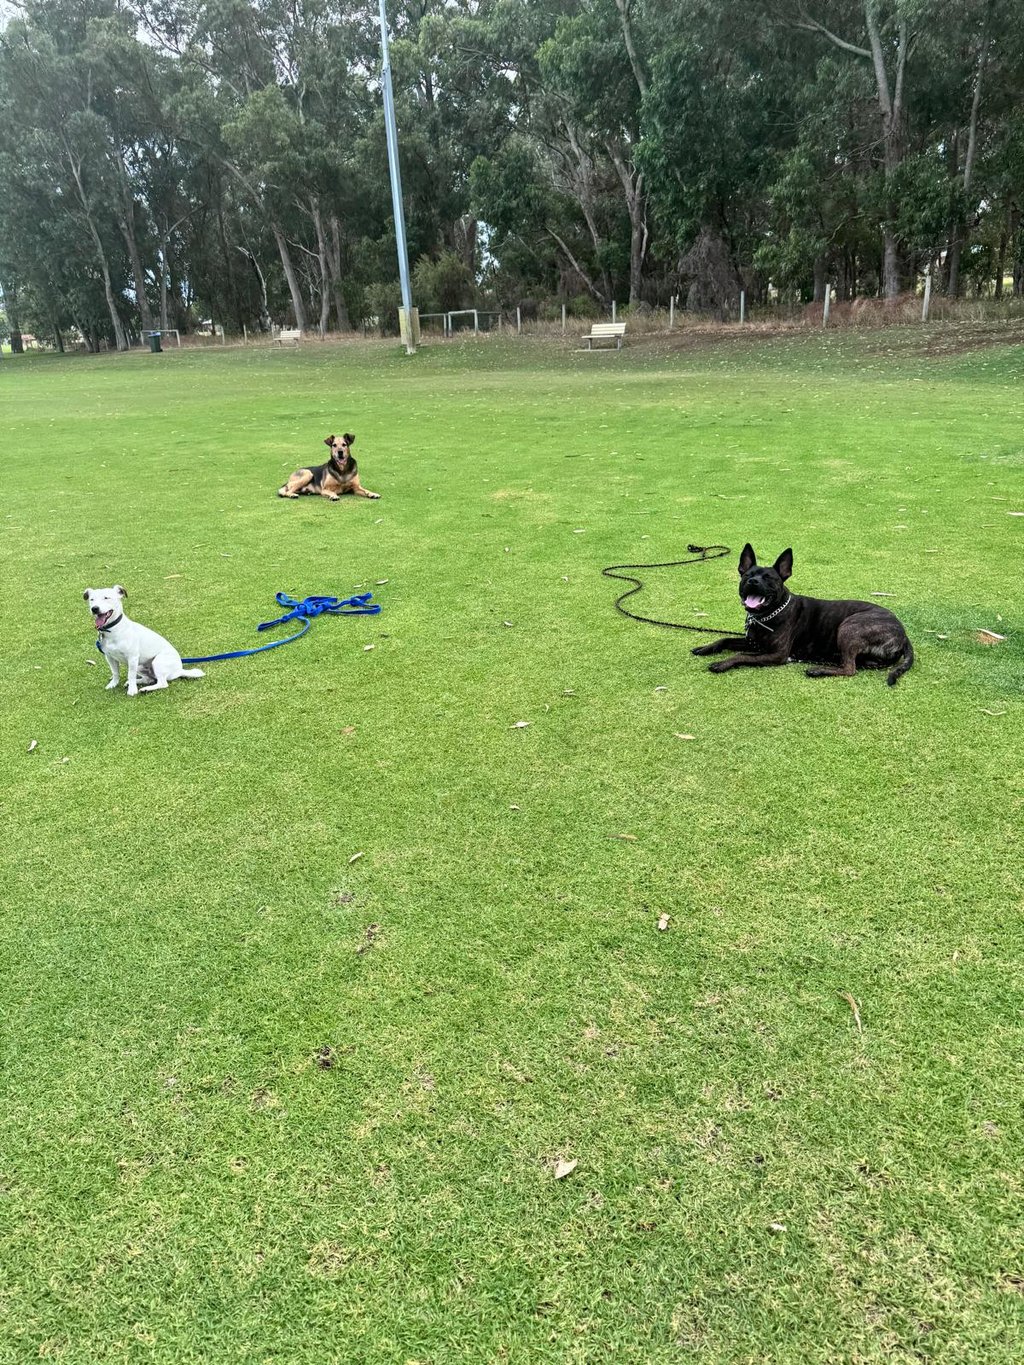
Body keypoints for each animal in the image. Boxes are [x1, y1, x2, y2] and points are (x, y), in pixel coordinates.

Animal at [692, 544, 914, 685]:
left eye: (769, 578)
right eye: (747, 575)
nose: (753, 582)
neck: (767, 615)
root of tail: (903, 634)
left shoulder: (777, 654)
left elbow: (741, 655)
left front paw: (722, 663)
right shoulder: (753, 642)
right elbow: (725, 639)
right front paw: (705, 648)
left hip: (850, 626)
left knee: (850, 669)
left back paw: (818, 669)